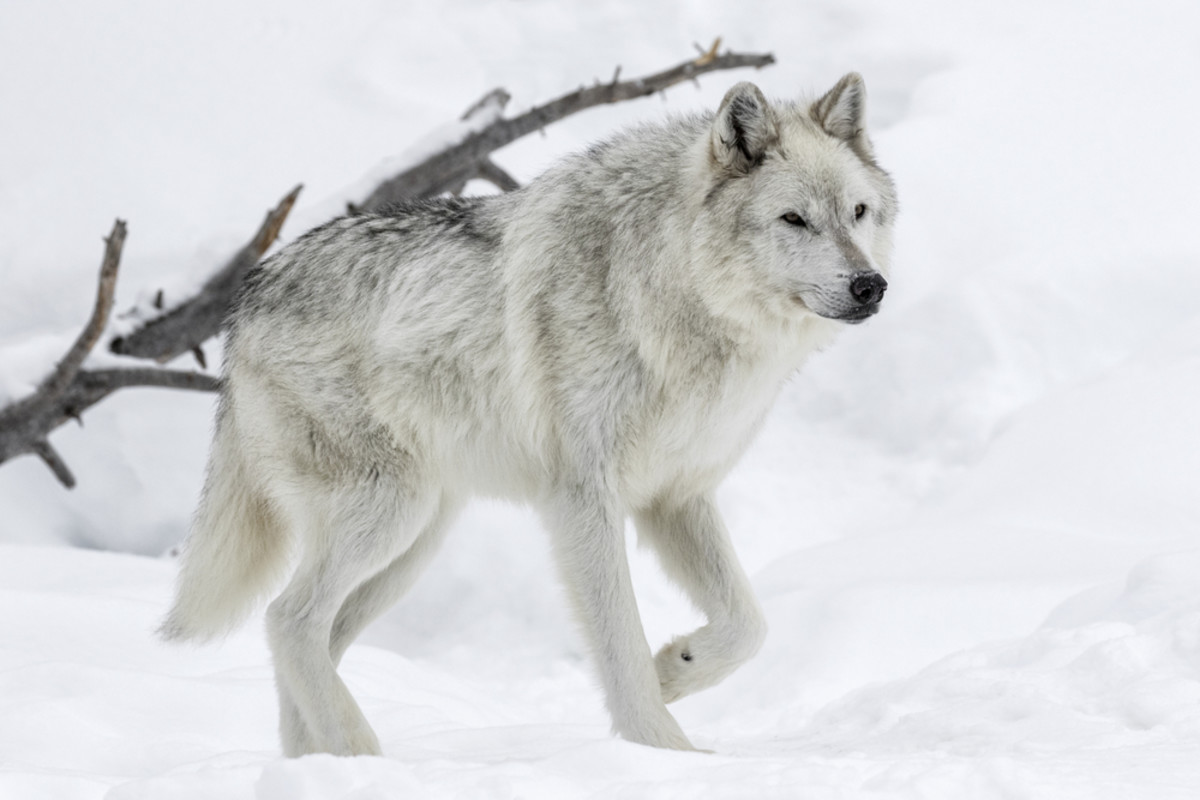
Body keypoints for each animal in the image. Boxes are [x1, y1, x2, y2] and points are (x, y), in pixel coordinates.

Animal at [161, 73, 897, 756]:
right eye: (794, 219)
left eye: (859, 211)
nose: (871, 286)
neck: (674, 299)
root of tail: (247, 296)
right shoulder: (583, 500)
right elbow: (620, 644)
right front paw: (663, 750)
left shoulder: (678, 497)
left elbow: (749, 624)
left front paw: (675, 670)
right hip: (388, 514)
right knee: (288, 619)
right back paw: (361, 750)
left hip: (413, 543)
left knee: (317, 637)